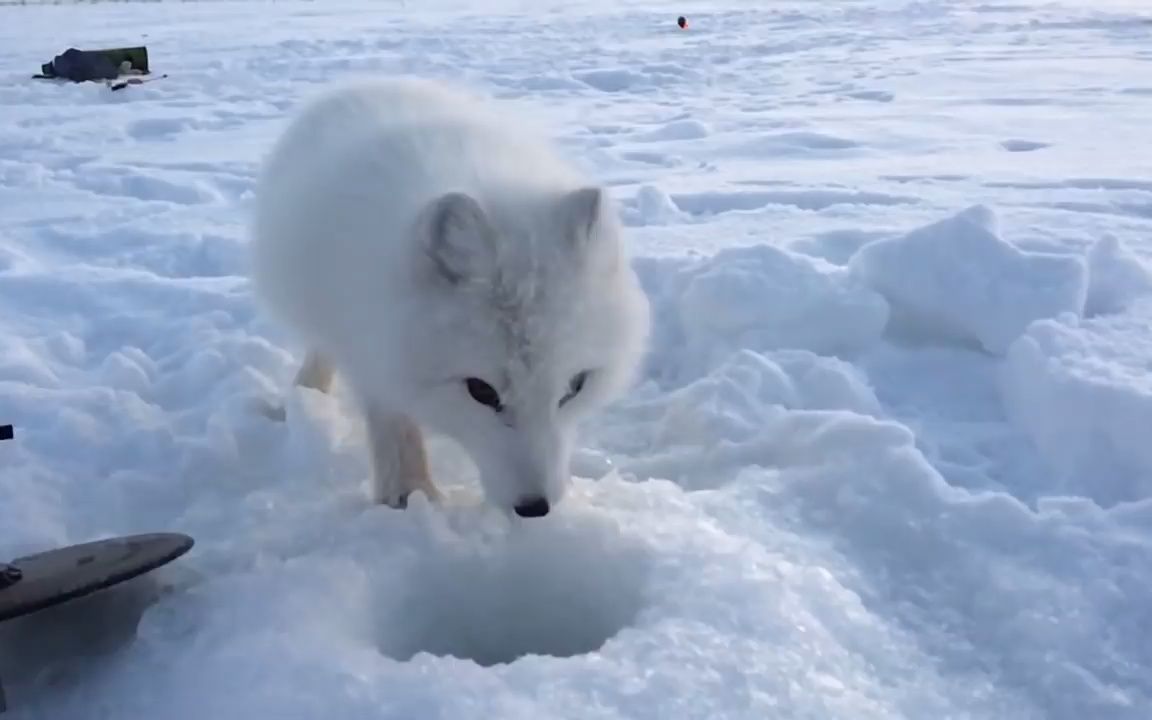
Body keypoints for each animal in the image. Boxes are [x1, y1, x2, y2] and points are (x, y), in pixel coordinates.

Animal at [248, 77, 654, 516]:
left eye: (576, 386)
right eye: (481, 391)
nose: (536, 507)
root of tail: (367, 80)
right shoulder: (369, 345)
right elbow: (393, 422)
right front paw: (409, 495)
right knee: (320, 349)